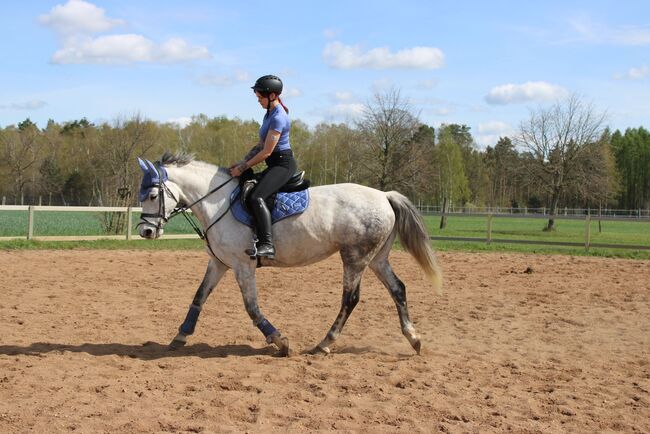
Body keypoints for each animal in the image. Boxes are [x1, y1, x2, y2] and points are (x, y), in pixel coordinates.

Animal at [136, 153, 440, 356]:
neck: (217, 202)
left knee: (350, 299)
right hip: (376, 259)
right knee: (398, 289)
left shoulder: (242, 265)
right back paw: (414, 339)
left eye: (152, 195)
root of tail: (384, 196)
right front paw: (180, 336)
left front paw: (280, 341)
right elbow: (199, 297)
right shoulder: (219, 263)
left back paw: (324, 344)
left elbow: (252, 307)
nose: (146, 231)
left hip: (355, 257)